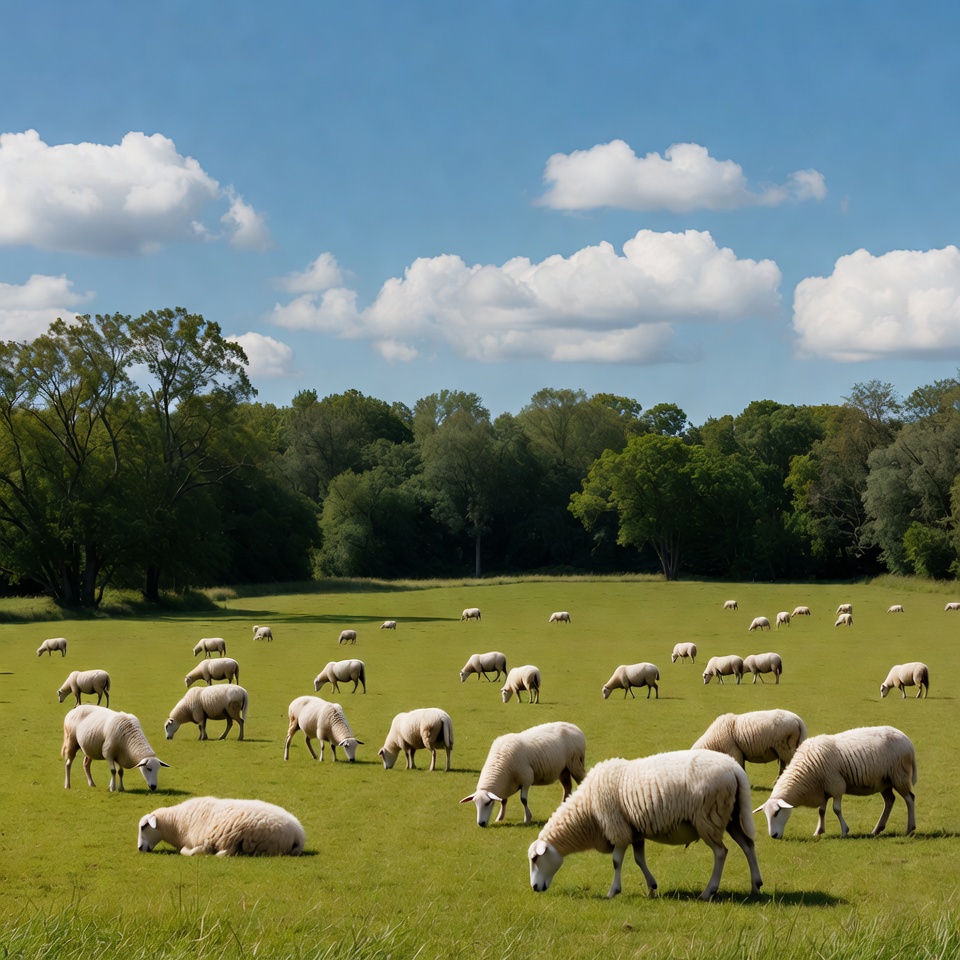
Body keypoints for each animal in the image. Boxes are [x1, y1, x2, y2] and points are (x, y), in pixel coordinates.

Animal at [138, 797, 304, 856]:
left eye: (144, 826)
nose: (139, 848)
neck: (176, 823)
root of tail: (299, 834)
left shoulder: (202, 841)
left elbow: (188, 851)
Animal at [528, 751, 763, 901]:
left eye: (535, 859)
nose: (534, 888)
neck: (587, 812)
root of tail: (734, 768)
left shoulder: (618, 829)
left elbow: (616, 861)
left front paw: (613, 891)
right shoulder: (635, 831)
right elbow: (639, 859)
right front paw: (651, 888)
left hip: (708, 817)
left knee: (721, 852)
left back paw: (708, 892)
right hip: (730, 817)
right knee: (748, 845)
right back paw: (756, 886)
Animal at [754, 725, 917, 838]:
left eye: (777, 812)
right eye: (766, 815)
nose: (773, 836)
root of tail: (906, 739)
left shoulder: (835, 784)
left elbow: (836, 809)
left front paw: (845, 831)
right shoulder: (822, 789)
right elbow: (821, 811)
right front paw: (819, 831)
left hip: (899, 775)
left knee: (910, 799)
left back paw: (910, 829)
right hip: (884, 781)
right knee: (890, 801)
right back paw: (877, 829)